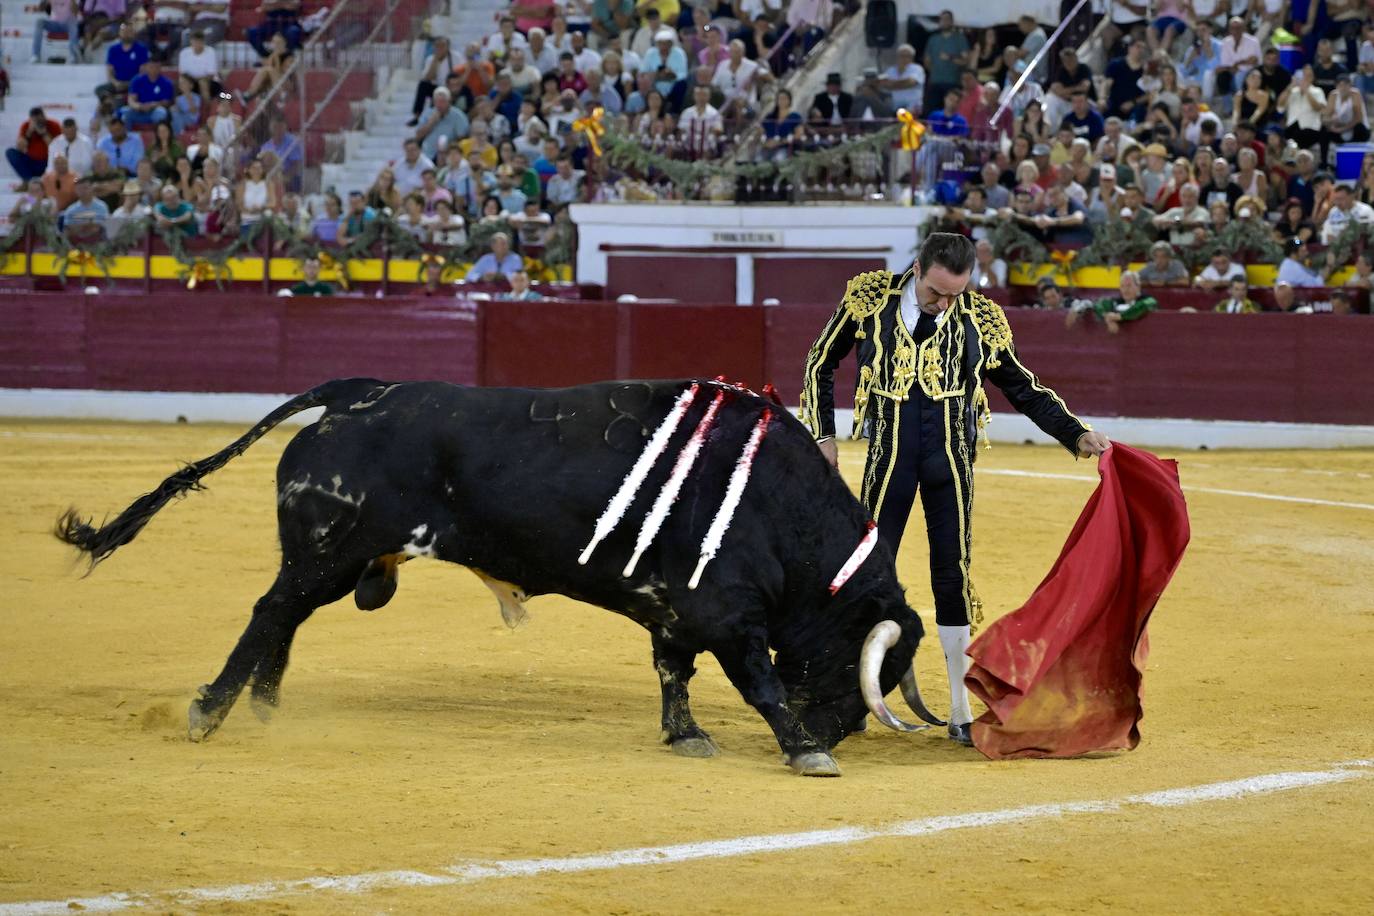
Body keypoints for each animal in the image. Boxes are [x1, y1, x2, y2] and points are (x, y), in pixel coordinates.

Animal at [53, 379, 934, 774]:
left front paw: (687, 736)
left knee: (287, 614)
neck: (781, 507)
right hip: (326, 552)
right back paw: (210, 710)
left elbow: (671, 674)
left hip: (333, 562)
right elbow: (760, 683)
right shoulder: (728, 614)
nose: (837, 734)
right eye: (860, 666)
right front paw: (802, 750)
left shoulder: (677, 613)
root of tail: (360, 392)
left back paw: (266, 708)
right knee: (270, 609)